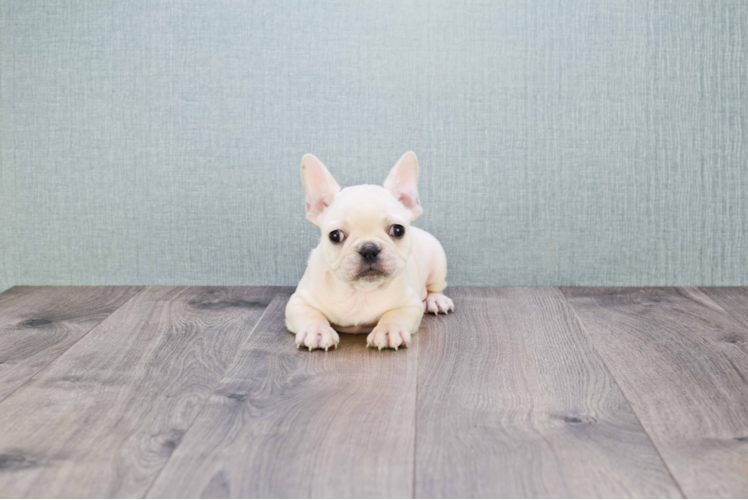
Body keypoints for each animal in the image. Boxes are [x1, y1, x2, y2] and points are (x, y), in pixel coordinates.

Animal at [284, 152, 452, 352]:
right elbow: (311, 314)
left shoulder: (410, 303)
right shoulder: (299, 301)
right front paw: (316, 330)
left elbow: (395, 315)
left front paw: (389, 330)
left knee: (436, 287)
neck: (360, 292)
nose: (369, 249)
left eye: (398, 230)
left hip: (438, 262)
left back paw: (436, 301)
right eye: (335, 235)